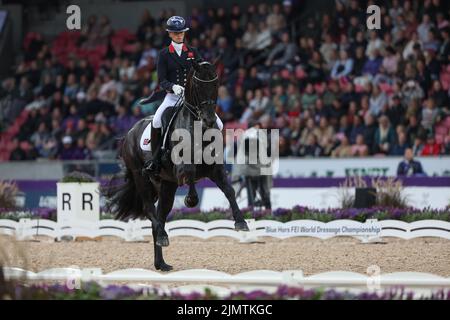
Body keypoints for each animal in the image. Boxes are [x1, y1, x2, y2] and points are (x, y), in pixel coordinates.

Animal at [105, 59, 250, 270]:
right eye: (197, 85)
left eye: (216, 84)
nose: (209, 119)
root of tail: (130, 132)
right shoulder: (181, 169)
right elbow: (190, 175)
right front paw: (190, 200)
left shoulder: (216, 169)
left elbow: (230, 191)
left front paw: (241, 223)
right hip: (141, 177)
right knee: (150, 210)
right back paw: (163, 240)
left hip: (166, 184)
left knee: (159, 217)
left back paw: (161, 261)